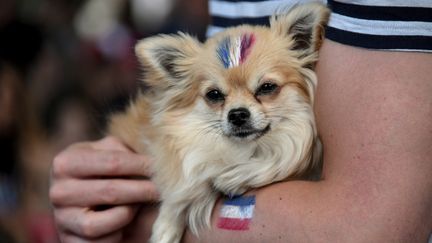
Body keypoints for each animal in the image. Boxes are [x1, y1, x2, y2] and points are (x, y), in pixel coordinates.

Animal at [109, 2, 330, 243]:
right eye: (214, 95)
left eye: (267, 87)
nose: (237, 114)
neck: (244, 151)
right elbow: (188, 179)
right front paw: (167, 225)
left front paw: (233, 177)